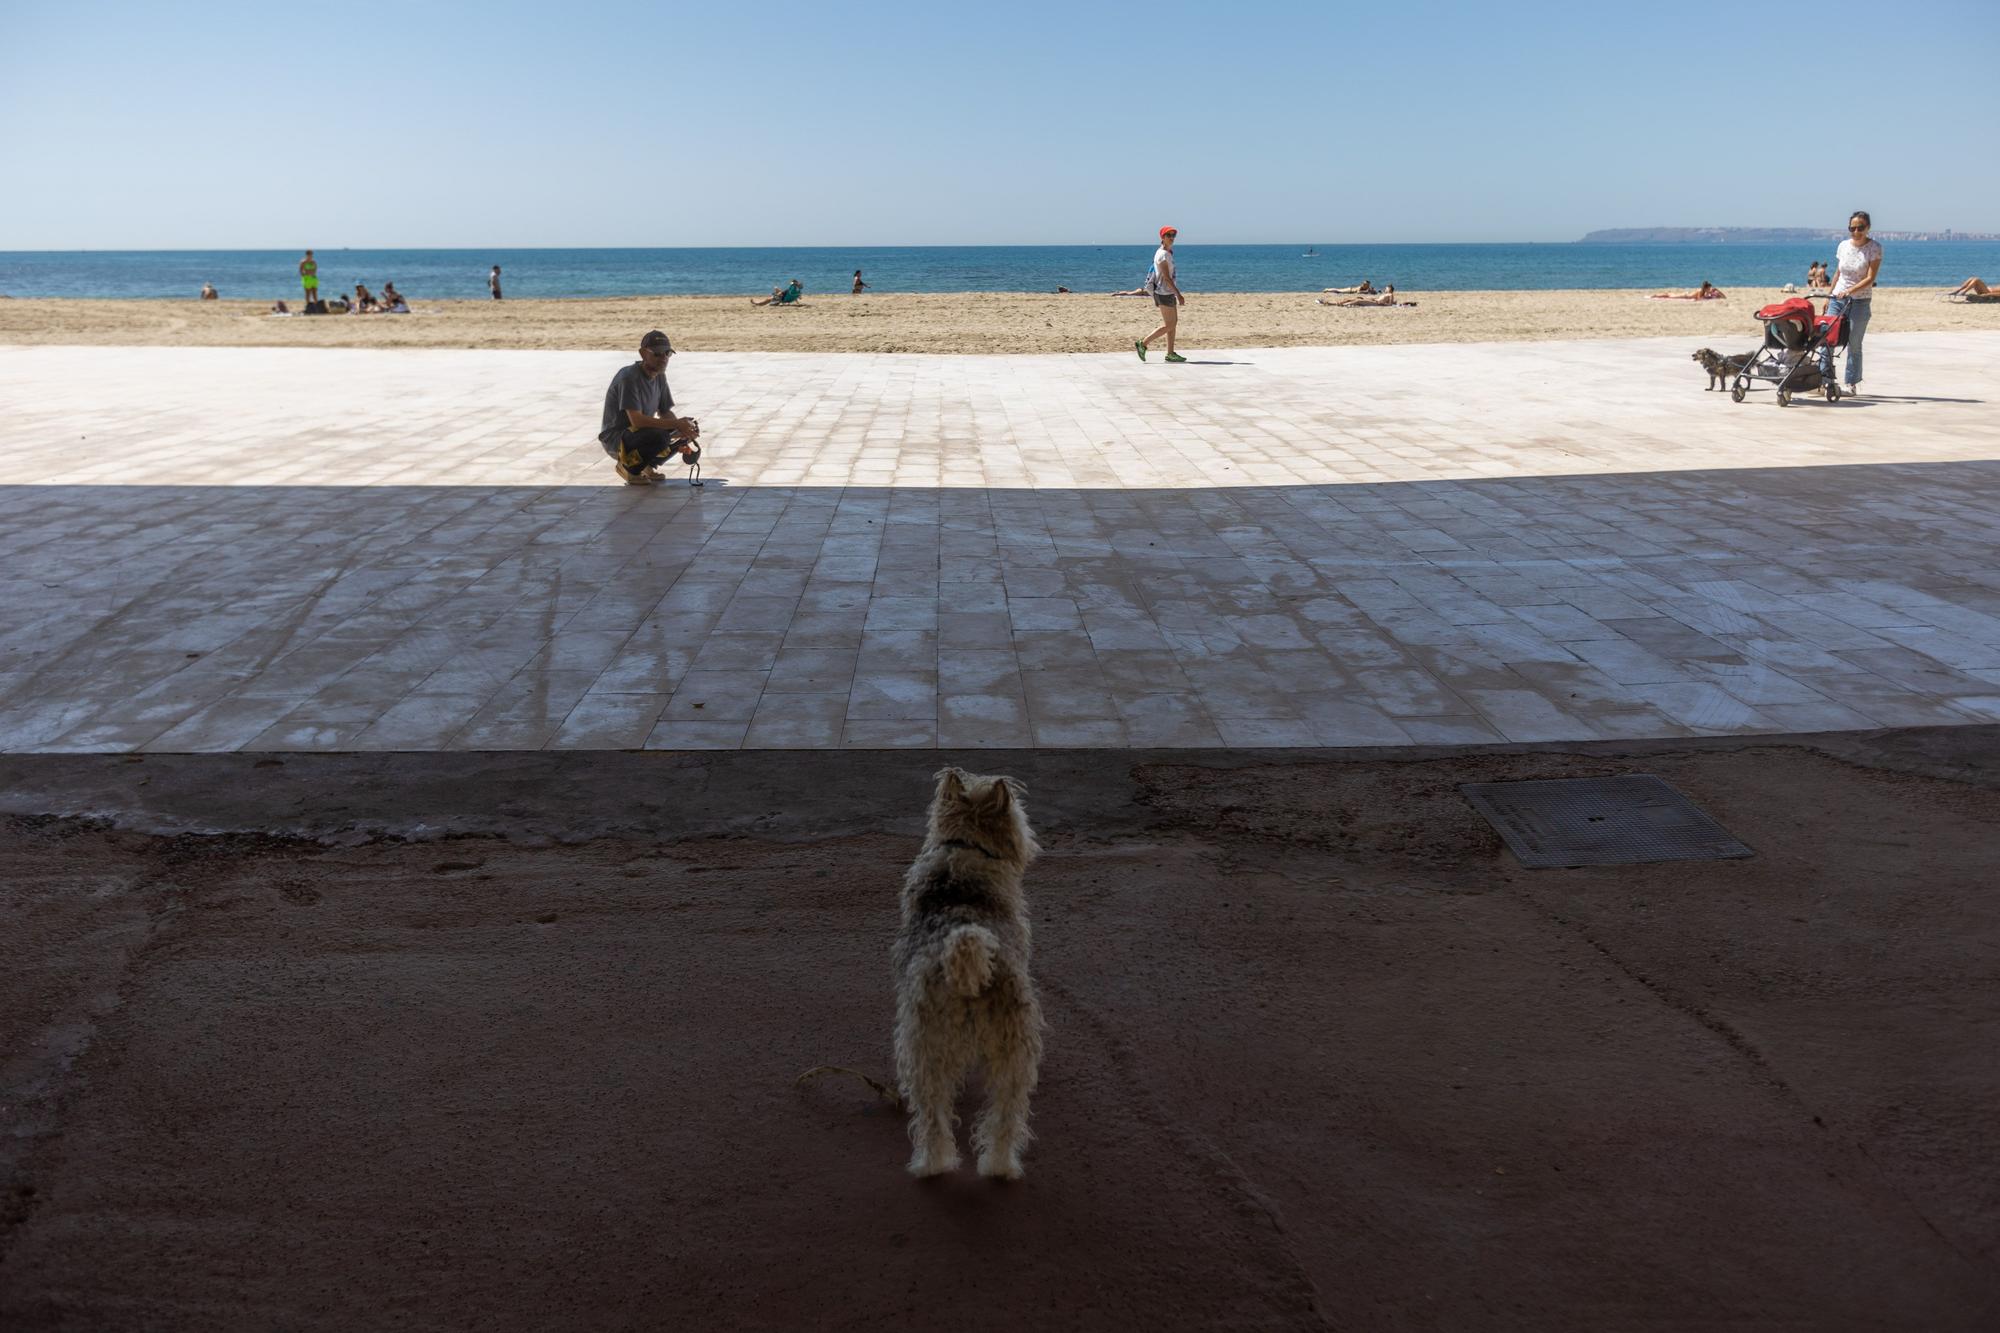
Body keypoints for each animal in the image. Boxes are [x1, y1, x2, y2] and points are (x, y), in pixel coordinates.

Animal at [892, 764, 1048, 1176]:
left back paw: (936, 1164)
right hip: (1010, 1050)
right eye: (1020, 815)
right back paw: (996, 1167)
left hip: (925, 1048)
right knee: (1005, 1117)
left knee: (935, 1118)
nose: (1032, 841)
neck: (965, 849)